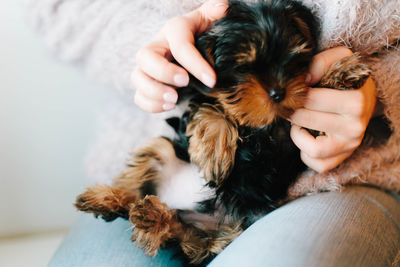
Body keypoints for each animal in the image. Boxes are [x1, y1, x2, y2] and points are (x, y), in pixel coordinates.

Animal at [76, 0, 372, 264]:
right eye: (243, 68)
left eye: (293, 59)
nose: (279, 92)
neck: (261, 124)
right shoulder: (198, 100)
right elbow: (212, 106)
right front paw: (215, 150)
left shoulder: (296, 136)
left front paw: (341, 71)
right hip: (161, 150)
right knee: (136, 189)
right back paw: (106, 200)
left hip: (229, 231)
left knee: (186, 238)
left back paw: (149, 217)